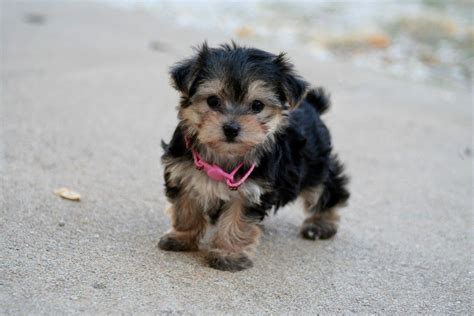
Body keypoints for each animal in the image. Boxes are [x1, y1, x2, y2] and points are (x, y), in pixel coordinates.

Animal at [159, 42, 348, 272]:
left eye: (257, 105)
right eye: (212, 101)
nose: (231, 128)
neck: (223, 154)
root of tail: (312, 105)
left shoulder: (249, 190)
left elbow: (236, 222)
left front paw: (228, 255)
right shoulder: (182, 173)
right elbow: (185, 208)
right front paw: (181, 238)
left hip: (315, 166)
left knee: (327, 190)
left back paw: (320, 225)